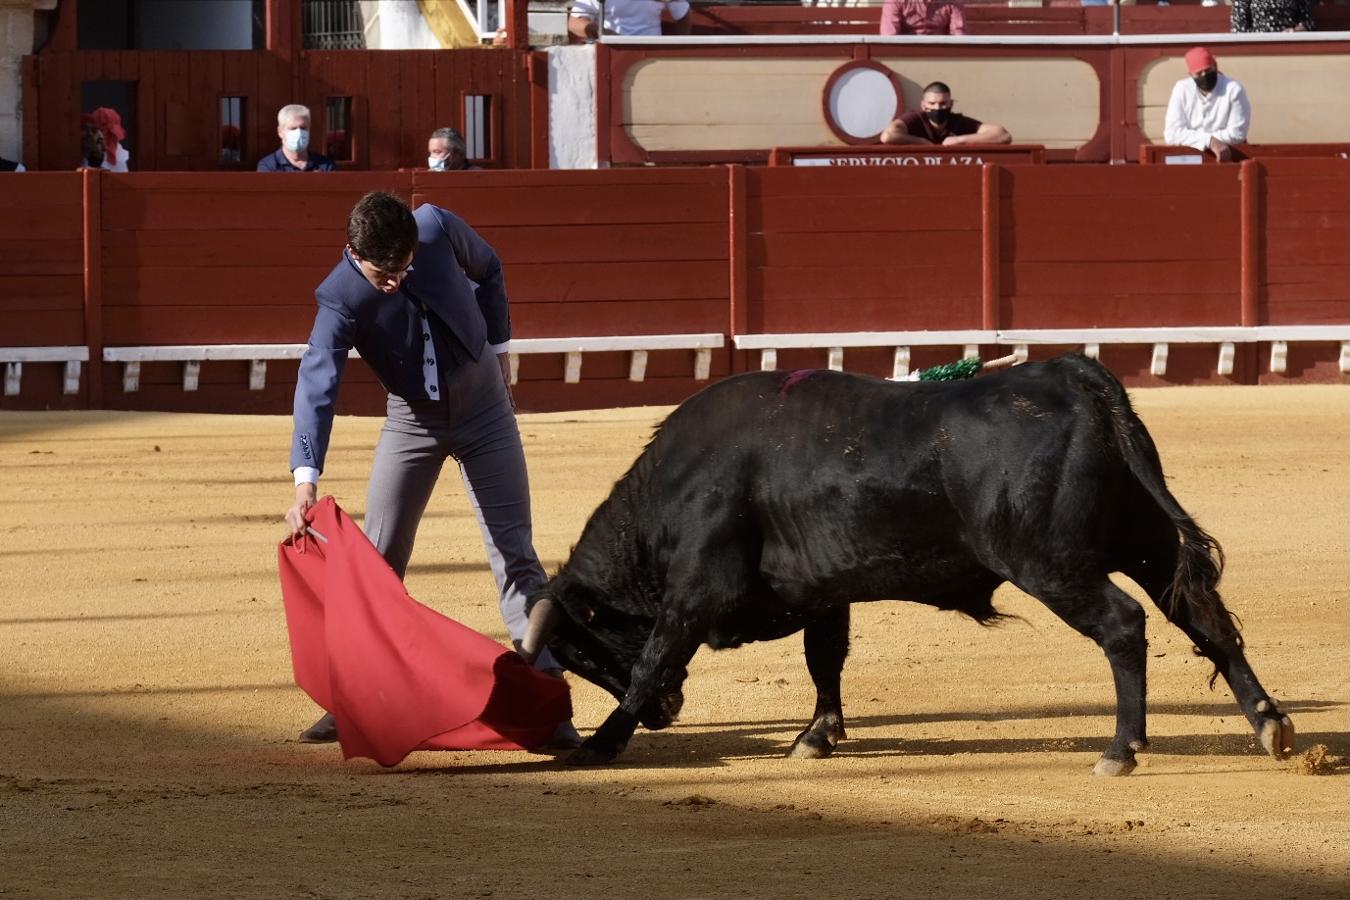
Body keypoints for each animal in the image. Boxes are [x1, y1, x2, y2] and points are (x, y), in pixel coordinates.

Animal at [521, 353, 1290, 777]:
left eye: (580, 650)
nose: (664, 717)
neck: (674, 484)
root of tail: (1073, 377)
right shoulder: (822, 591)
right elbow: (825, 659)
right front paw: (816, 736)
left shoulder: (695, 591)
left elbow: (657, 654)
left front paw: (601, 743)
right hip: (1148, 544)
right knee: (1204, 618)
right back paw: (1269, 724)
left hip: (1052, 563)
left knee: (1124, 625)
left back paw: (1122, 749)